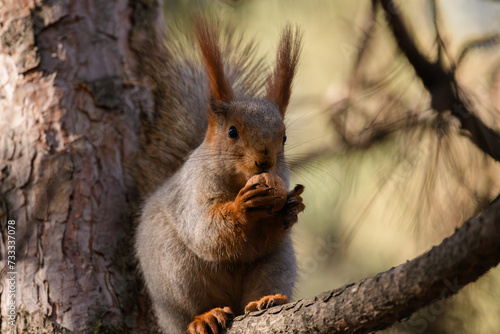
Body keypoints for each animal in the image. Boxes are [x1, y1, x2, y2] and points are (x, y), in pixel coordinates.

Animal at [133, 16, 304, 334]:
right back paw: (205, 316)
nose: (265, 161)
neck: (238, 180)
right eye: (232, 132)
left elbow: (266, 236)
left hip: (276, 263)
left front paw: (292, 207)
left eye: (284, 137)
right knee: (190, 308)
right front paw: (242, 207)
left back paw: (268, 299)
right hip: (176, 272)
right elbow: (206, 231)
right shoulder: (192, 191)